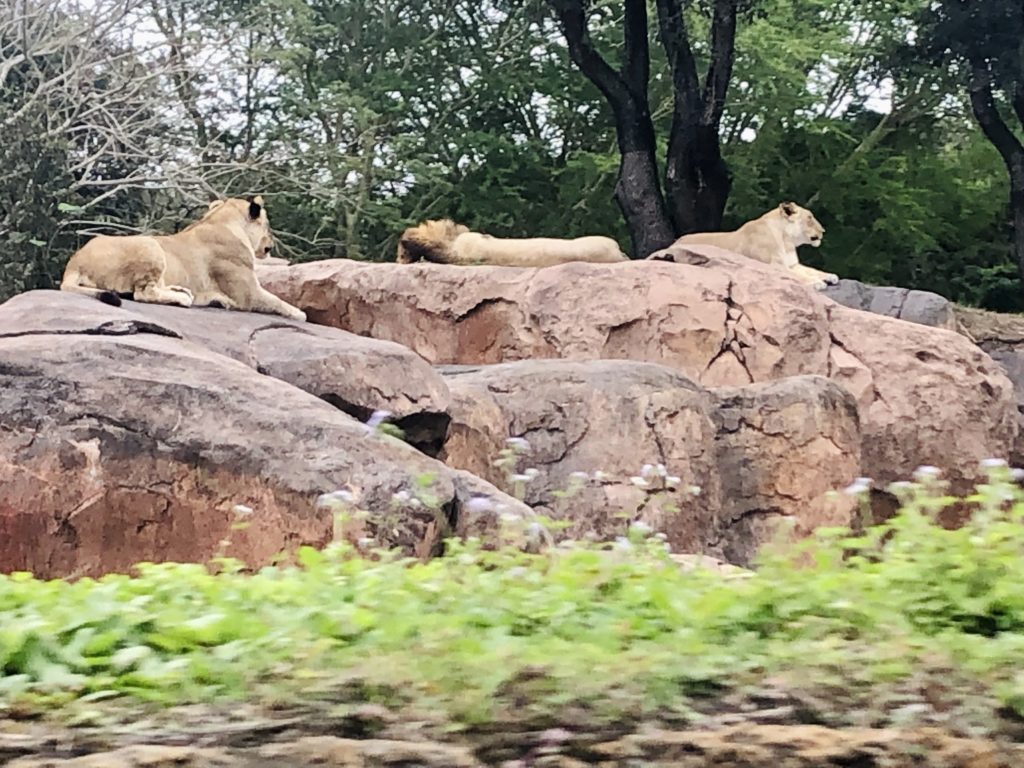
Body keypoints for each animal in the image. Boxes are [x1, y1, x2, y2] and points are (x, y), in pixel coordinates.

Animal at [60, 198, 305, 321]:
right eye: (268, 225)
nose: (270, 244)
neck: (219, 220)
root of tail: (74, 262)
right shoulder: (248, 293)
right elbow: (278, 301)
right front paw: (300, 313)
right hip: (150, 244)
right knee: (143, 293)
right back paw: (183, 298)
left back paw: (184, 292)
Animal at [655, 201, 839, 290]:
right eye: (809, 218)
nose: (823, 231)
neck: (787, 241)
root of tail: (675, 242)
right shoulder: (773, 265)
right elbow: (797, 276)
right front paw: (816, 283)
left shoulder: (792, 264)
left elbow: (811, 270)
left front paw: (829, 276)